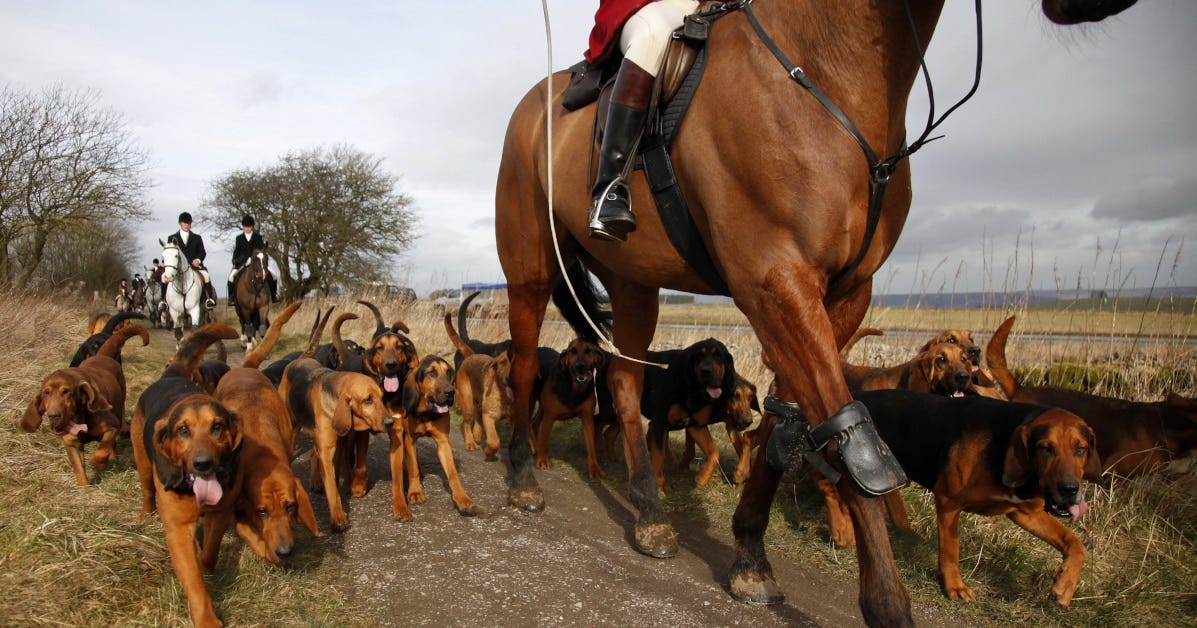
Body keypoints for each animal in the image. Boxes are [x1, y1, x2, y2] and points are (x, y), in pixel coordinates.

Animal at [493, 1, 1139, 622]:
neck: (826, 66)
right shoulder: (777, 280)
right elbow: (855, 439)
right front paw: (887, 603)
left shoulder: (844, 294)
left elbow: (790, 423)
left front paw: (750, 556)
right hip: (529, 271)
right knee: (524, 366)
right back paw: (523, 479)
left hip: (633, 283)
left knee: (627, 383)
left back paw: (650, 514)